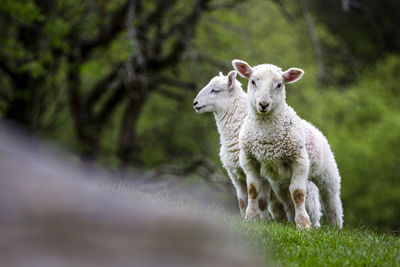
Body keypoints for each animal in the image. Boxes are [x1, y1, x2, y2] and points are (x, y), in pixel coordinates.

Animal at [192, 71, 320, 226]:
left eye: (215, 90)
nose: (195, 103)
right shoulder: (236, 174)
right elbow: (242, 200)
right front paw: (247, 219)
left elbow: (259, 199)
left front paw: (260, 220)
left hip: (308, 193)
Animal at [233, 59, 342, 229]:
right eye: (253, 81)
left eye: (279, 84)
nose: (263, 104)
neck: (267, 139)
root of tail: (314, 127)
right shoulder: (249, 159)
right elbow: (253, 190)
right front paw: (250, 218)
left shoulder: (299, 161)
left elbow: (298, 193)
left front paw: (304, 224)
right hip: (280, 184)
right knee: (288, 201)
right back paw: (291, 221)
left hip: (327, 174)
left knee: (332, 201)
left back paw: (335, 226)